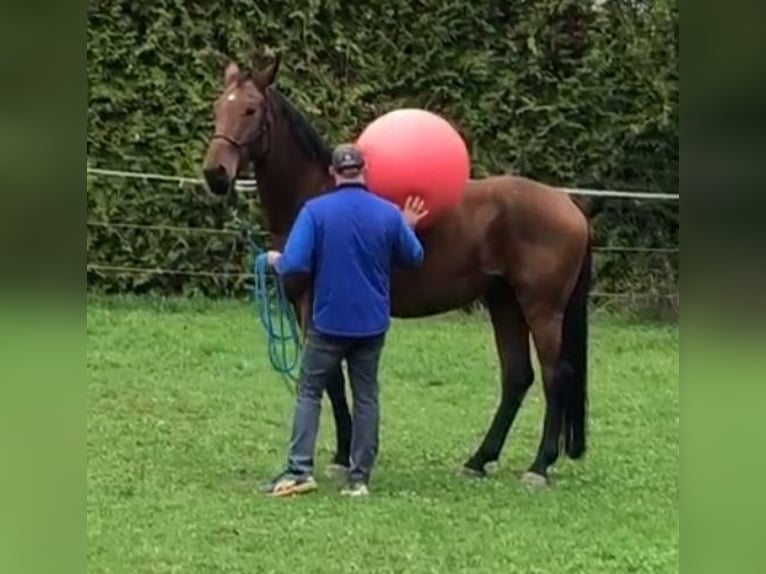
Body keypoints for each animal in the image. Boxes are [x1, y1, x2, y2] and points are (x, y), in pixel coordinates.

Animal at [201, 55, 592, 486]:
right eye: (218, 107)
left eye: (251, 109)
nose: (215, 174)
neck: (317, 194)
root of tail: (570, 205)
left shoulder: (314, 308)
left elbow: (332, 380)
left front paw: (343, 455)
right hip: (504, 302)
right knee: (517, 377)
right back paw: (479, 460)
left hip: (542, 309)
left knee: (556, 375)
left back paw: (539, 467)